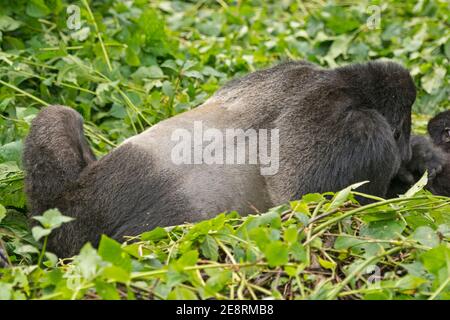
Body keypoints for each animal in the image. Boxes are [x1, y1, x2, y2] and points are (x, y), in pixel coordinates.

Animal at [22, 60, 416, 256]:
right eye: (404, 131)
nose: (410, 153)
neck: (346, 85)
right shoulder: (365, 136)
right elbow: (321, 211)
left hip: (59, 219)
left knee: (56, 117)